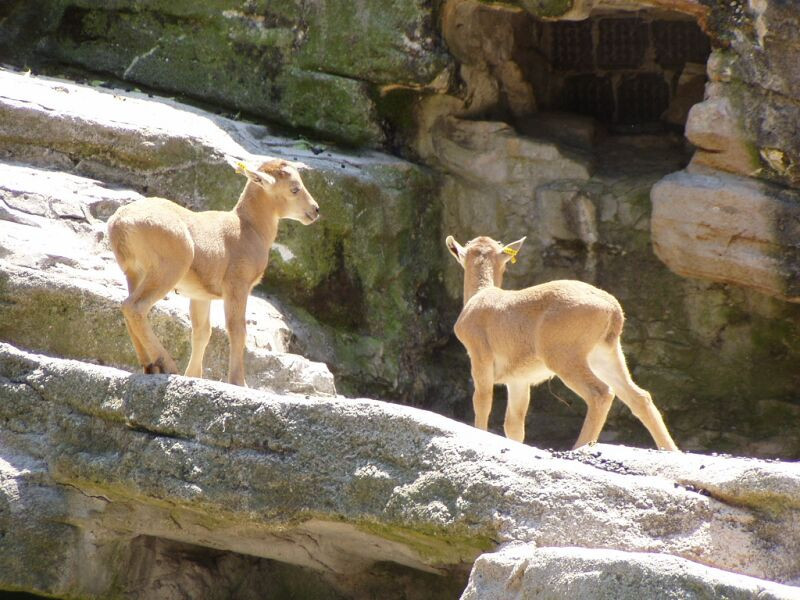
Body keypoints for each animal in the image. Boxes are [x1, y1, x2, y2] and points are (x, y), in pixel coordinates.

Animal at [108, 158, 320, 384]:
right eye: (294, 188)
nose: (315, 210)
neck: (248, 229)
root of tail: (119, 223)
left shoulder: (201, 295)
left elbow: (202, 332)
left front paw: (194, 376)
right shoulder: (237, 285)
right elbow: (237, 329)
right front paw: (239, 382)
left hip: (134, 273)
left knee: (127, 308)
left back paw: (150, 367)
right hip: (168, 269)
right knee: (135, 307)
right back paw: (166, 365)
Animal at [446, 234, 680, 450]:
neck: (480, 297)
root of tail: (612, 309)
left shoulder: (480, 357)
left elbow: (482, 401)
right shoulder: (518, 380)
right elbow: (514, 425)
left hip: (564, 358)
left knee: (601, 393)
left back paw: (579, 447)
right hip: (605, 355)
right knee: (639, 397)